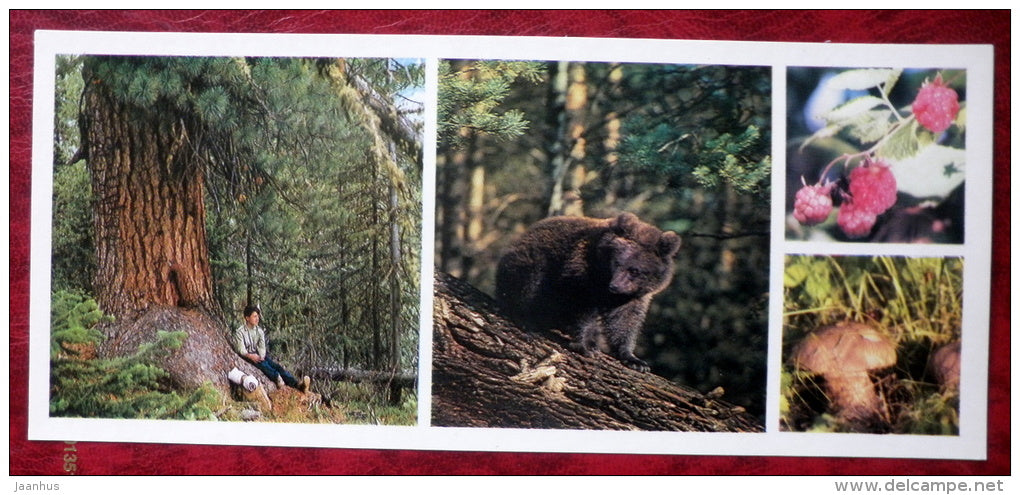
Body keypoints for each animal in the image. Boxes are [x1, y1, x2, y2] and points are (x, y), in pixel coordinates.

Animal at [495, 212, 682, 371]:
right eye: (617, 262)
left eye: (634, 270)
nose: (614, 286)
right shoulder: (581, 270)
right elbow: (580, 305)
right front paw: (585, 345)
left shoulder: (632, 295)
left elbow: (625, 320)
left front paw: (634, 359)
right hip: (531, 260)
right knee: (530, 283)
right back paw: (528, 321)